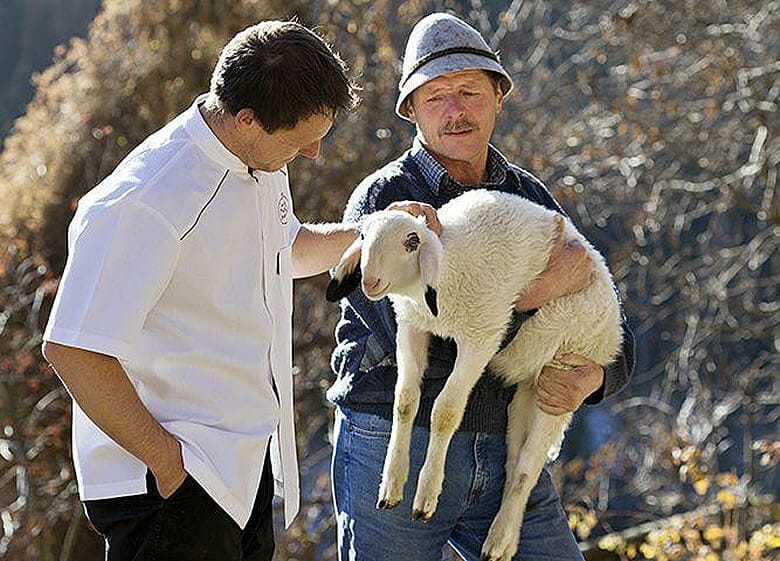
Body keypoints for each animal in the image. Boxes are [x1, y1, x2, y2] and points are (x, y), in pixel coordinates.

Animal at [326, 189, 624, 560]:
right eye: (363, 237)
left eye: (412, 242)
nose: (369, 282)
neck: (449, 267)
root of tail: (615, 326)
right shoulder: (411, 326)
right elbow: (405, 402)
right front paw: (391, 484)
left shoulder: (481, 336)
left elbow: (445, 412)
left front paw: (426, 495)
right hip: (525, 391)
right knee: (515, 462)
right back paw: (506, 532)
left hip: (564, 372)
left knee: (528, 466)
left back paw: (499, 540)